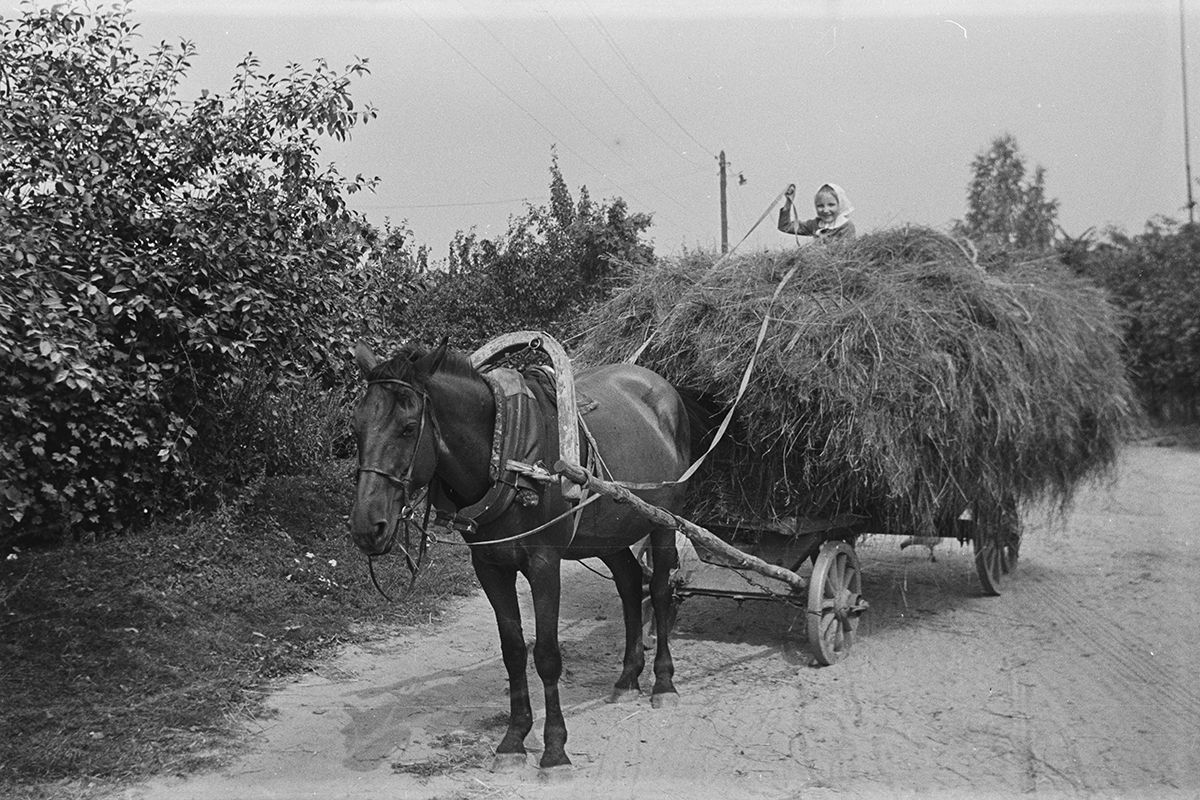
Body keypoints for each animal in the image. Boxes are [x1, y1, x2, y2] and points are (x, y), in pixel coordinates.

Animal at [348, 338, 700, 777]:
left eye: (409, 427)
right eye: (357, 427)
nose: (367, 527)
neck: (505, 453)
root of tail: (660, 386)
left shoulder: (544, 565)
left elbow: (546, 655)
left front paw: (554, 749)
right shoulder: (489, 567)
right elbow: (513, 651)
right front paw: (514, 740)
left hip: (663, 521)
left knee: (662, 589)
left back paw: (663, 682)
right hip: (611, 531)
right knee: (630, 584)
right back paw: (627, 678)